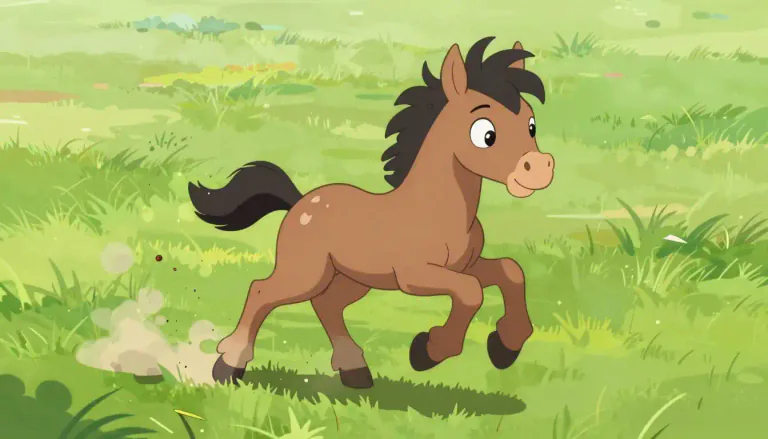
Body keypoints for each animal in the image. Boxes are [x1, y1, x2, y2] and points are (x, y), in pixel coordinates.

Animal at [188, 36, 555, 389]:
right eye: (485, 134)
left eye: (532, 125)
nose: (539, 168)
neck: (438, 208)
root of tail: (299, 202)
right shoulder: (415, 275)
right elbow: (470, 292)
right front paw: (429, 350)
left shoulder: (467, 265)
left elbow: (510, 272)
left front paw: (506, 345)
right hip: (306, 273)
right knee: (261, 291)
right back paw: (228, 365)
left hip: (352, 279)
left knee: (327, 305)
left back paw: (355, 372)